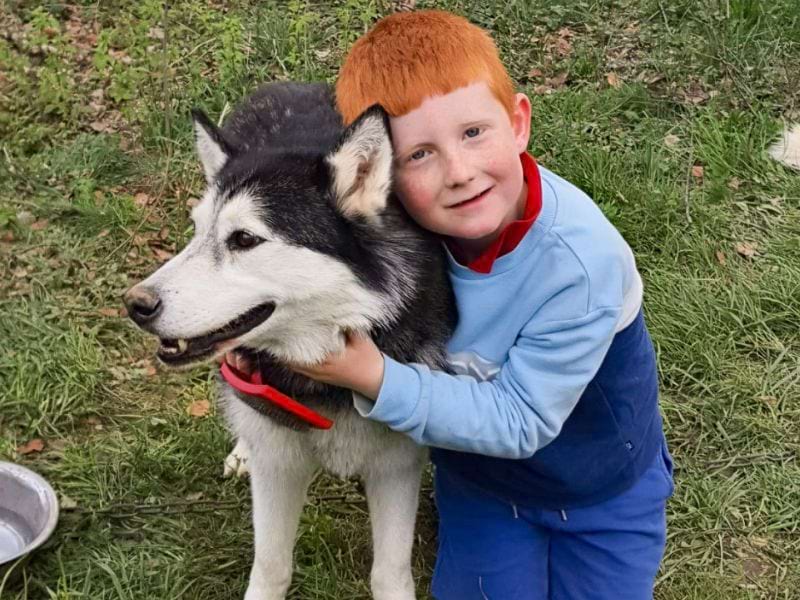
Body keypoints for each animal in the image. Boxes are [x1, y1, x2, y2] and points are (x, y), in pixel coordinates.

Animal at [126, 81, 456, 600]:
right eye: (196, 233)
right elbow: (271, 564)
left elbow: (389, 572)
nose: (135, 305)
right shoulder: (279, 467)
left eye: (244, 239)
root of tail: (287, 85)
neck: (320, 385)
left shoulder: (395, 467)